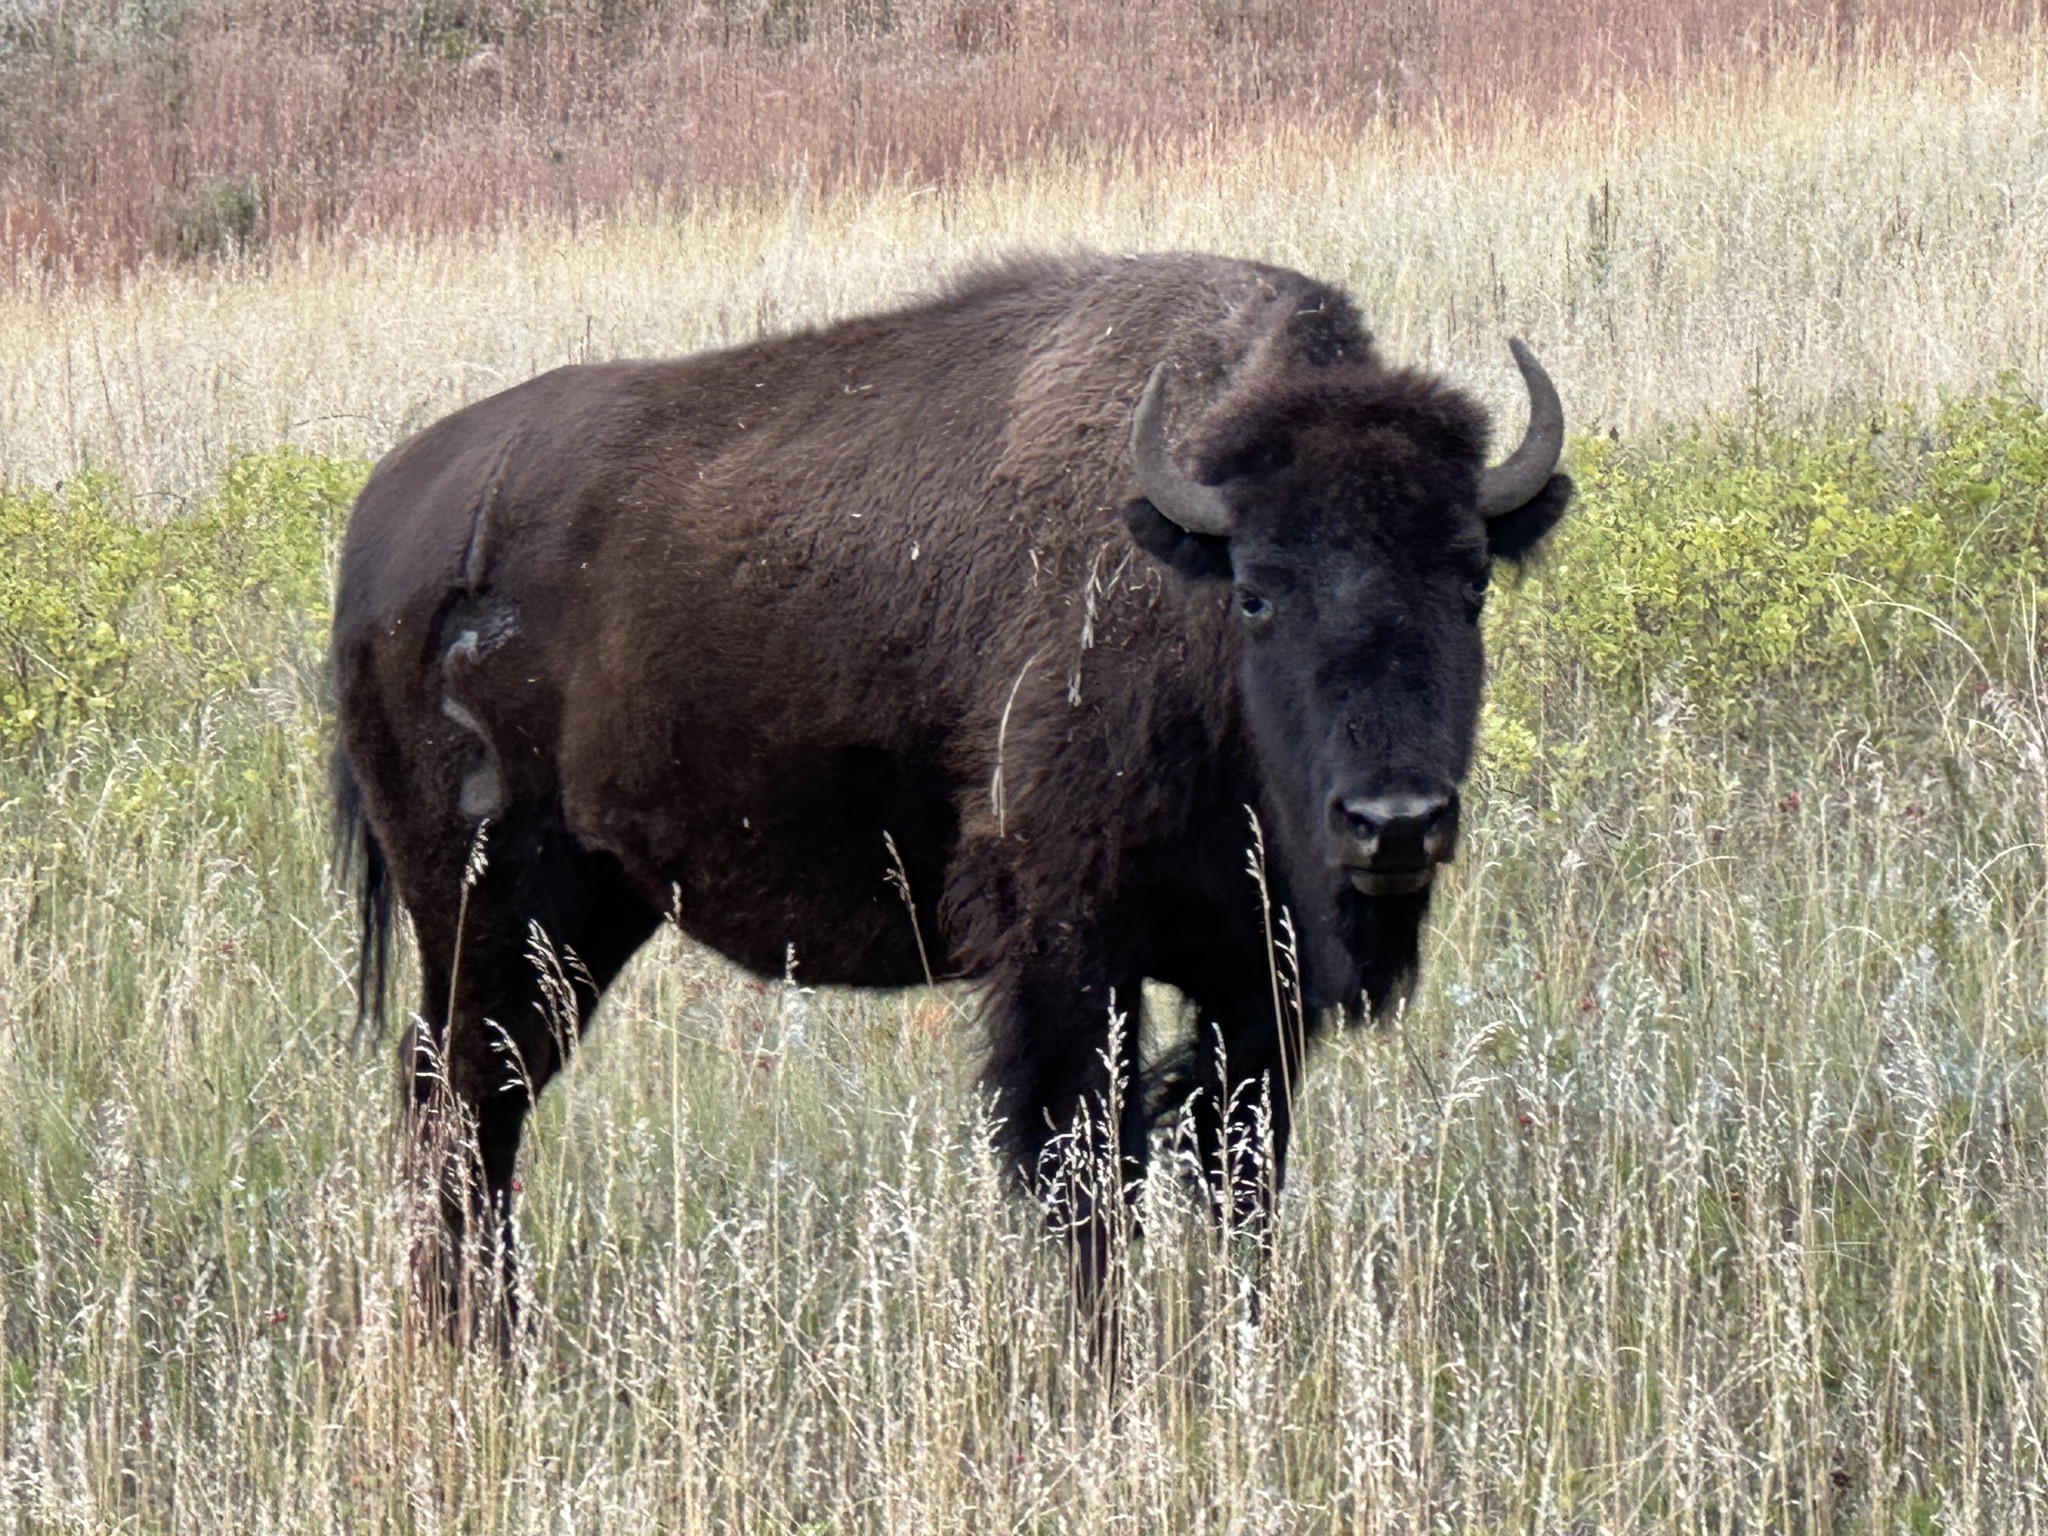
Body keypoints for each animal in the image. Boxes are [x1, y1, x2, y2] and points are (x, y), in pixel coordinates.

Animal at [331, 251, 1571, 1337]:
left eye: (1469, 579)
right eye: (1258, 593)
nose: (1393, 823)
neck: (1180, 575)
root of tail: (384, 524)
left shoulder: (1251, 980)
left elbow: (1238, 1181)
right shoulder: (1068, 951)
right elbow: (1089, 1175)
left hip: (579, 920)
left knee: (475, 1108)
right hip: (489, 912)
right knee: (460, 1108)